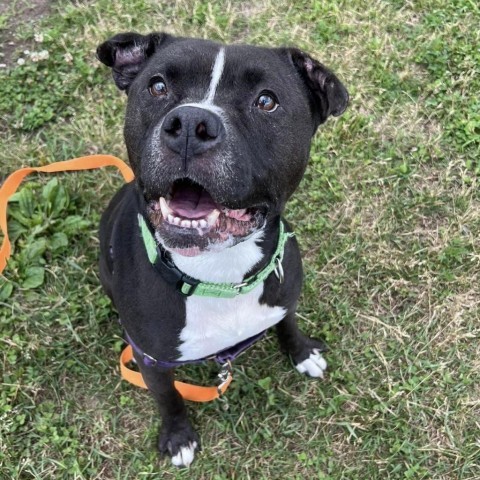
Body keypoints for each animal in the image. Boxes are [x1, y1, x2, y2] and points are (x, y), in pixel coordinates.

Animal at [95, 31, 348, 466]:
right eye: (157, 86)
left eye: (266, 100)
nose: (189, 125)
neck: (219, 275)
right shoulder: (151, 360)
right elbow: (168, 397)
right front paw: (178, 437)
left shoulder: (285, 297)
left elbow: (288, 323)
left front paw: (302, 353)